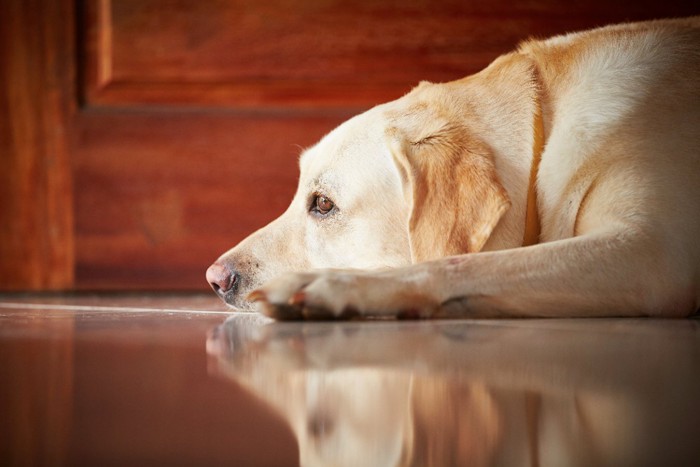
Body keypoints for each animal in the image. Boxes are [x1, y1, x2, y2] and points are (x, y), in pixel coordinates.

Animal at [208, 17, 700, 318]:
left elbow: (464, 264)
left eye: (323, 204)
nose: (215, 279)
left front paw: (335, 286)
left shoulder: (649, 252)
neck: (545, 117)